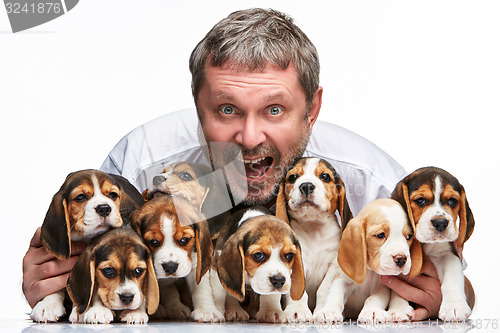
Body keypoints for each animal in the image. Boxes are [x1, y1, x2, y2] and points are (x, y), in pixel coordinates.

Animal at [276, 157, 354, 320]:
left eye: (325, 176)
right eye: (293, 177)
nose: (306, 186)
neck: (313, 228)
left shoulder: (333, 265)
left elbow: (324, 289)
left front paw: (323, 311)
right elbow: (299, 291)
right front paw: (297, 310)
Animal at [390, 167, 476, 320]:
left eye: (452, 201)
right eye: (421, 200)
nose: (440, 223)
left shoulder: (447, 253)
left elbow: (453, 275)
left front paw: (455, 307)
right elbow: (397, 283)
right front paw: (398, 308)